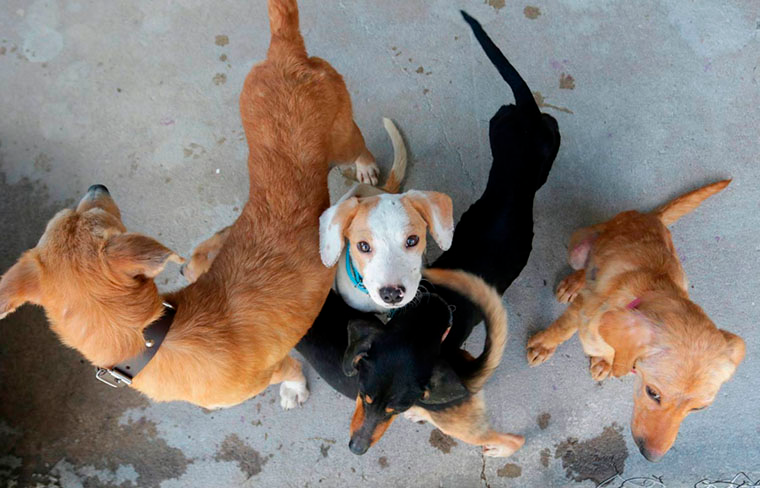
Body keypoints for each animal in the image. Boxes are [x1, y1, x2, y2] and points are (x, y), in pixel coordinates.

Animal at [294, 10, 560, 454]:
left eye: (413, 241)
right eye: (362, 246)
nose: (356, 449)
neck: (433, 311)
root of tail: (526, 111)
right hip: (505, 125)